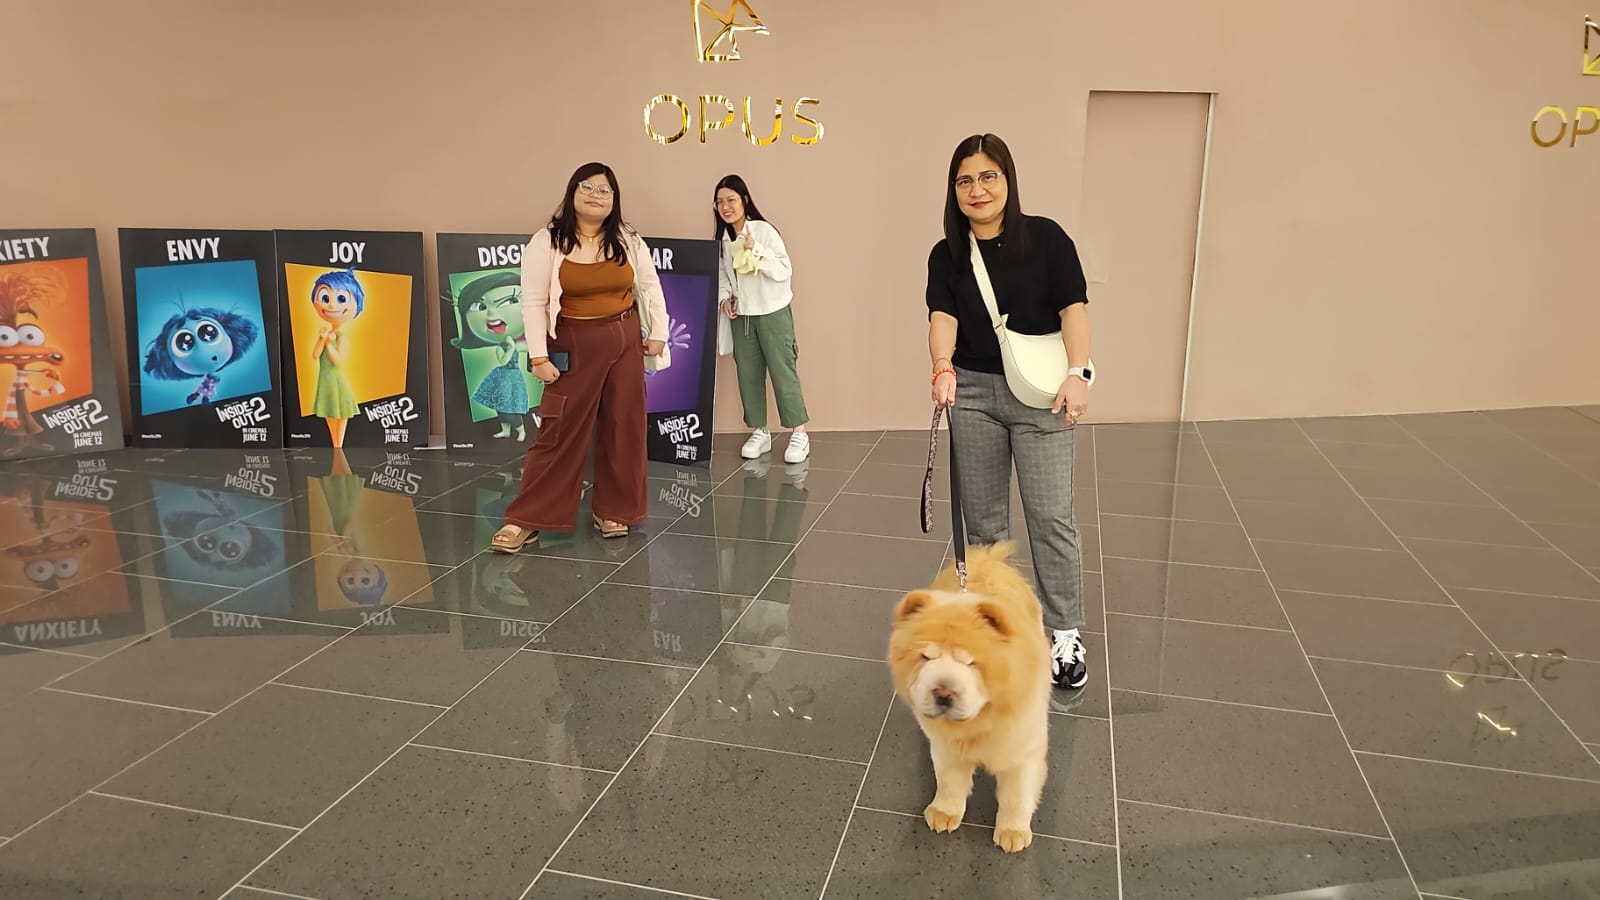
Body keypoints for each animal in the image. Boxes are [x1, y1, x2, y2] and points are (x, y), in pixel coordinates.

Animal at [887, 541, 1050, 853]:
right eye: (925, 657)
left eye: (970, 662)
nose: (943, 692)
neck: (980, 720)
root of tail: (986, 559)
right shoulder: (947, 747)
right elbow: (950, 782)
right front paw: (944, 813)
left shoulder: (1022, 751)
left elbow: (1016, 795)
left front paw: (1012, 832)